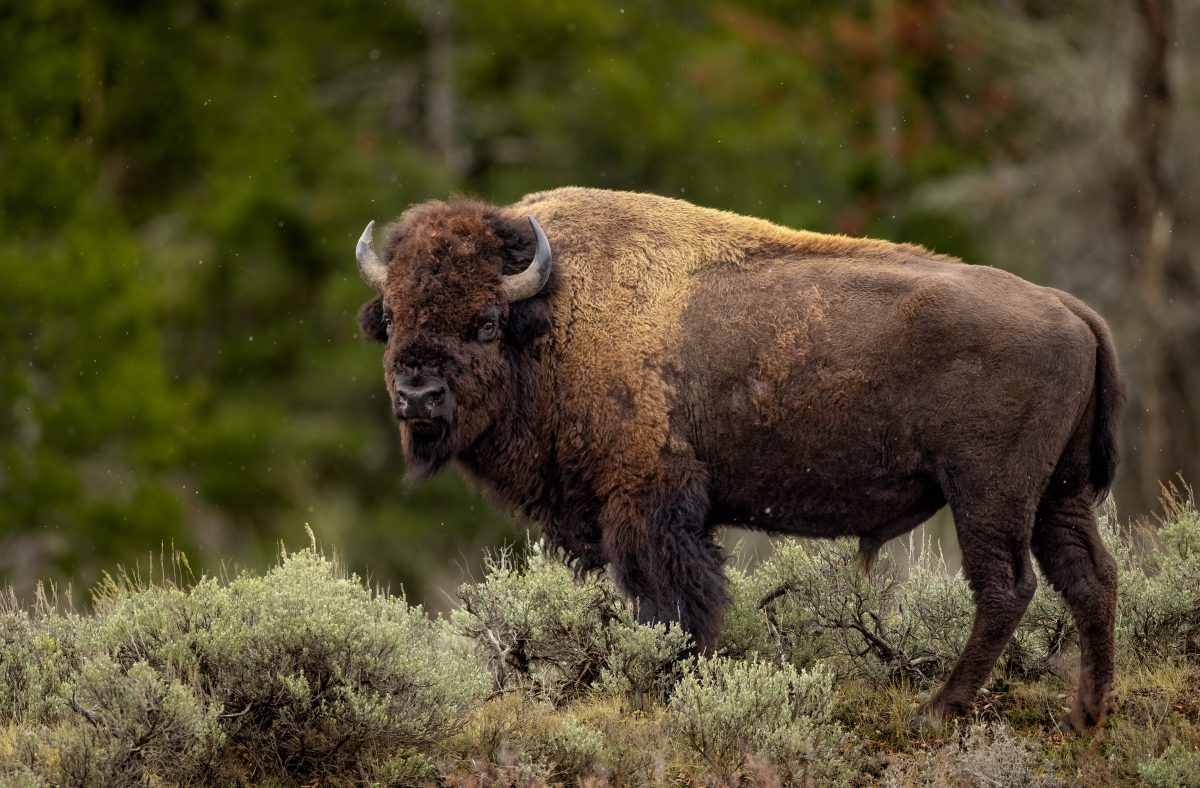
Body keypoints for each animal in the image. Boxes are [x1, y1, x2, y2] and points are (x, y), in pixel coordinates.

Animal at [355, 187, 1124, 730]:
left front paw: (665, 682)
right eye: (390, 317)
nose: (417, 395)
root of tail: (1068, 307)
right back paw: (1086, 714)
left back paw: (935, 712)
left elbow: (674, 602)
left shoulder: (648, 504)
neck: (555, 315)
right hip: (1059, 494)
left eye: (485, 321)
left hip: (988, 493)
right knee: (1090, 578)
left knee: (1006, 587)